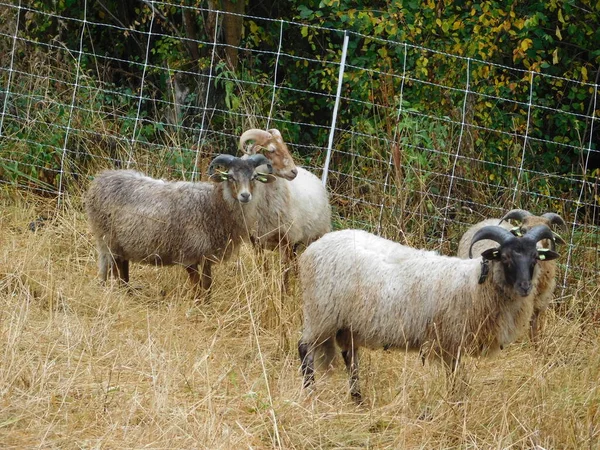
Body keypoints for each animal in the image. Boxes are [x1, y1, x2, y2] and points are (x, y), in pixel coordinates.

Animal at [85, 153, 276, 298]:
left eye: (254, 177)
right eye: (230, 177)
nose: (245, 196)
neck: (215, 204)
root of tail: (102, 178)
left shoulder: (206, 257)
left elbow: (207, 285)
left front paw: (207, 304)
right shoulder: (189, 255)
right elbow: (197, 286)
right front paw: (198, 305)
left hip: (123, 244)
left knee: (123, 270)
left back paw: (128, 293)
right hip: (109, 240)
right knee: (116, 270)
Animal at [298, 225, 560, 400]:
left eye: (535, 257)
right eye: (505, 257)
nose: (525, 286)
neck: (474, 285)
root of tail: (315, 246)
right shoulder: (449, 340)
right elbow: (455, 379)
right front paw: (456, 406)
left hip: (346, 323)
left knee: (350, 357)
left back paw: (358, 400)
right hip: (321, 312)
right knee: (304, 348)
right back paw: (311, 394)